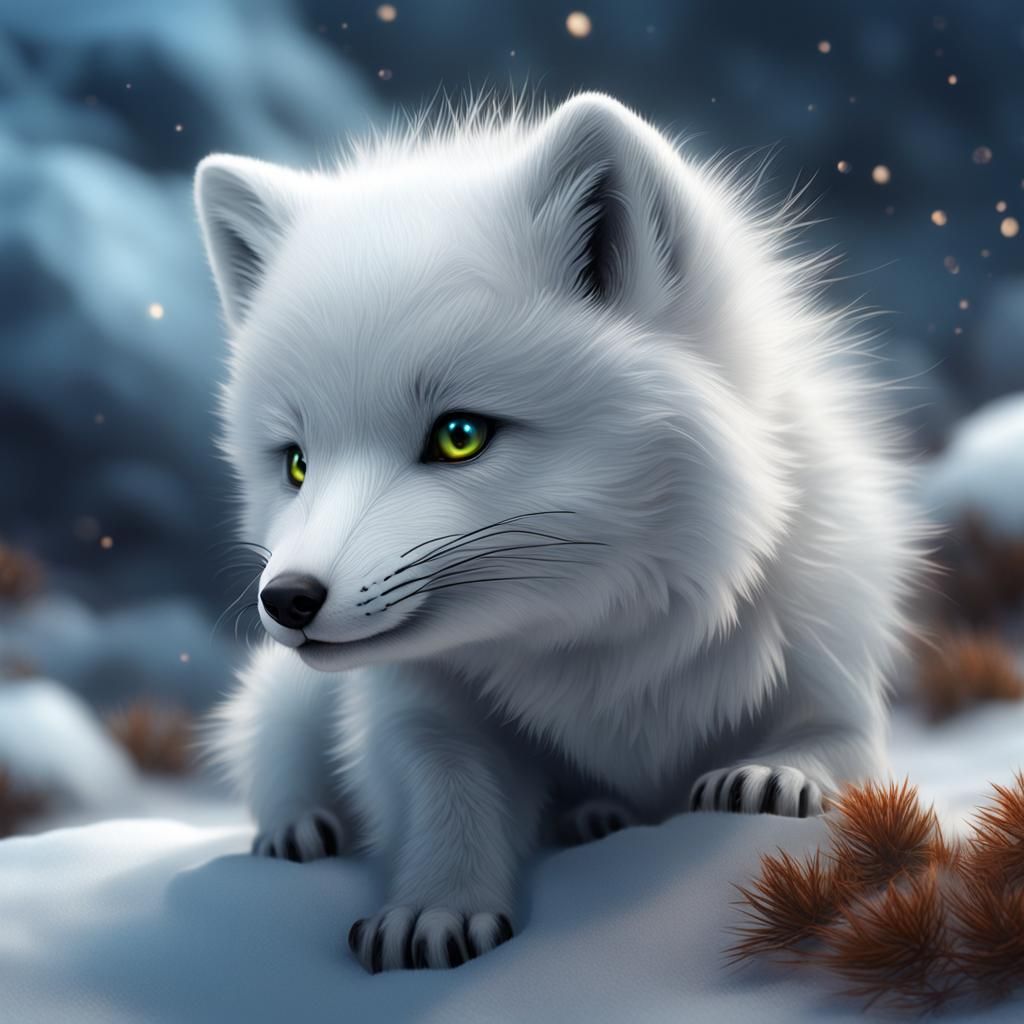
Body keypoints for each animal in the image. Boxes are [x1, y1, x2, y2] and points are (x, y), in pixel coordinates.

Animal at [196, 93, 924, 973]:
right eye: (296, 463)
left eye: (460, 436)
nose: (288, 601)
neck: (599, 649)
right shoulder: (419, 712)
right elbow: (446, 797)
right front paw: (434, 907)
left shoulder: (833, 664)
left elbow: (837, 748)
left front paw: (777, 775)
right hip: (288, 708)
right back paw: (304, 829)